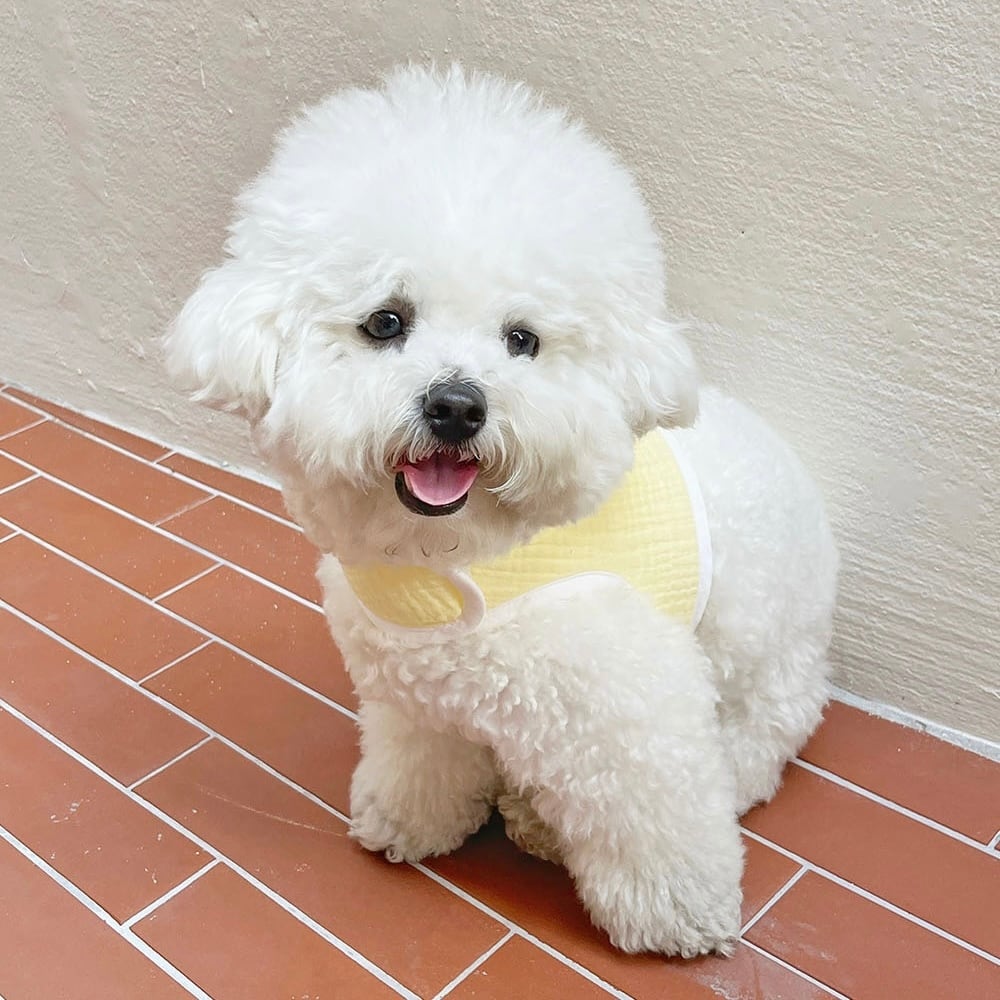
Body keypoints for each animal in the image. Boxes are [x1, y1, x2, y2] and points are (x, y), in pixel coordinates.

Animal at [165, 65, 838, 958]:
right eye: (386, 321)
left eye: (523, 339)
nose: (457, 405)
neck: (452, 556)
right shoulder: (415, 696)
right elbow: (422, 764)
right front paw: (409, 821)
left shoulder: (634, 708)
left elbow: (657, 817)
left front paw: (679, 912)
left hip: (760, 668)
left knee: (753, 749)